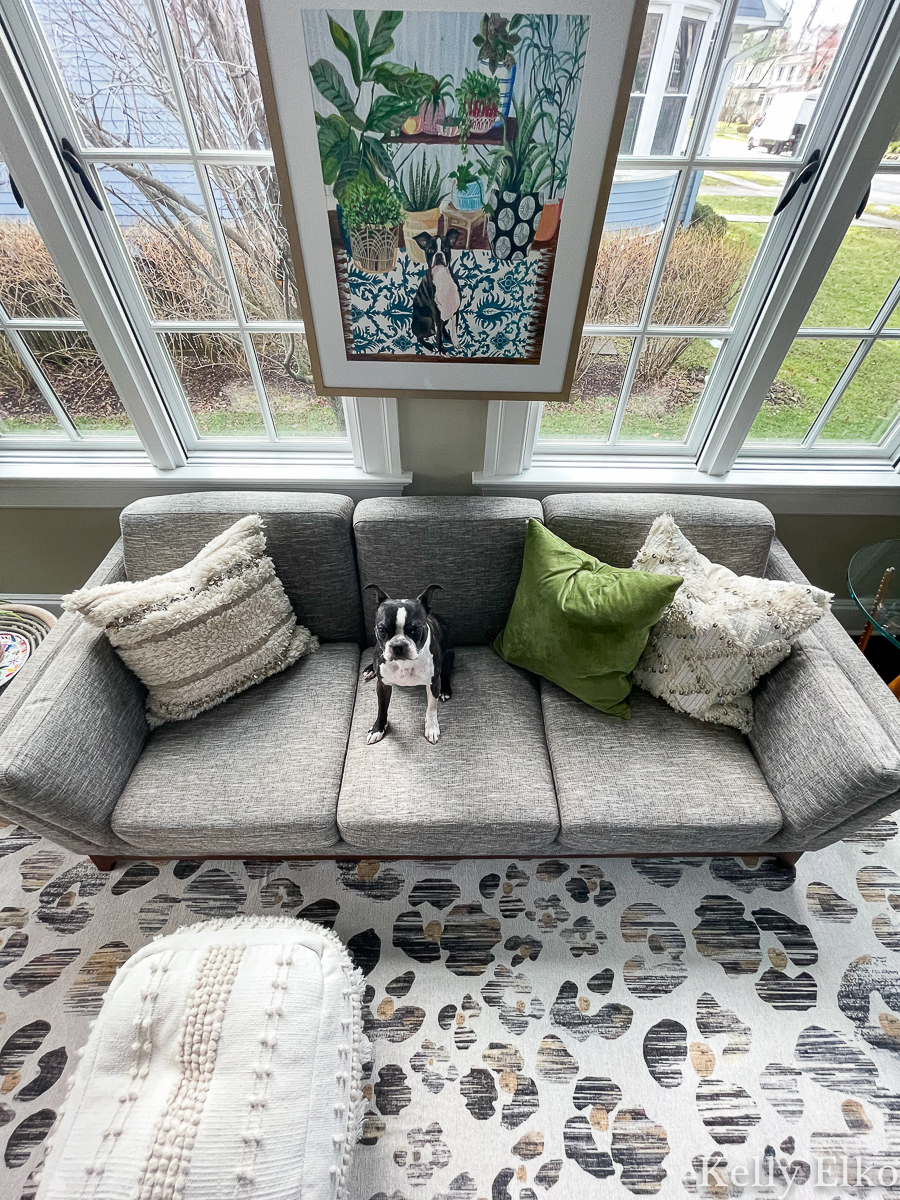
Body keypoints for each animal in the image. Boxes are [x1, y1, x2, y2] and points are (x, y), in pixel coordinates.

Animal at [362, 580, 453, 739]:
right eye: (382, 629)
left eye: (415, 629)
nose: (398, 645)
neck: (404, 663)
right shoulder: (382, 684)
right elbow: (382, 708)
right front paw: (378, 729)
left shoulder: (433, 683)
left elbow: (432, 708)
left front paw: (432, 728)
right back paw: (369, 669)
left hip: (448, 655)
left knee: (446, 672)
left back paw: (445, 690)